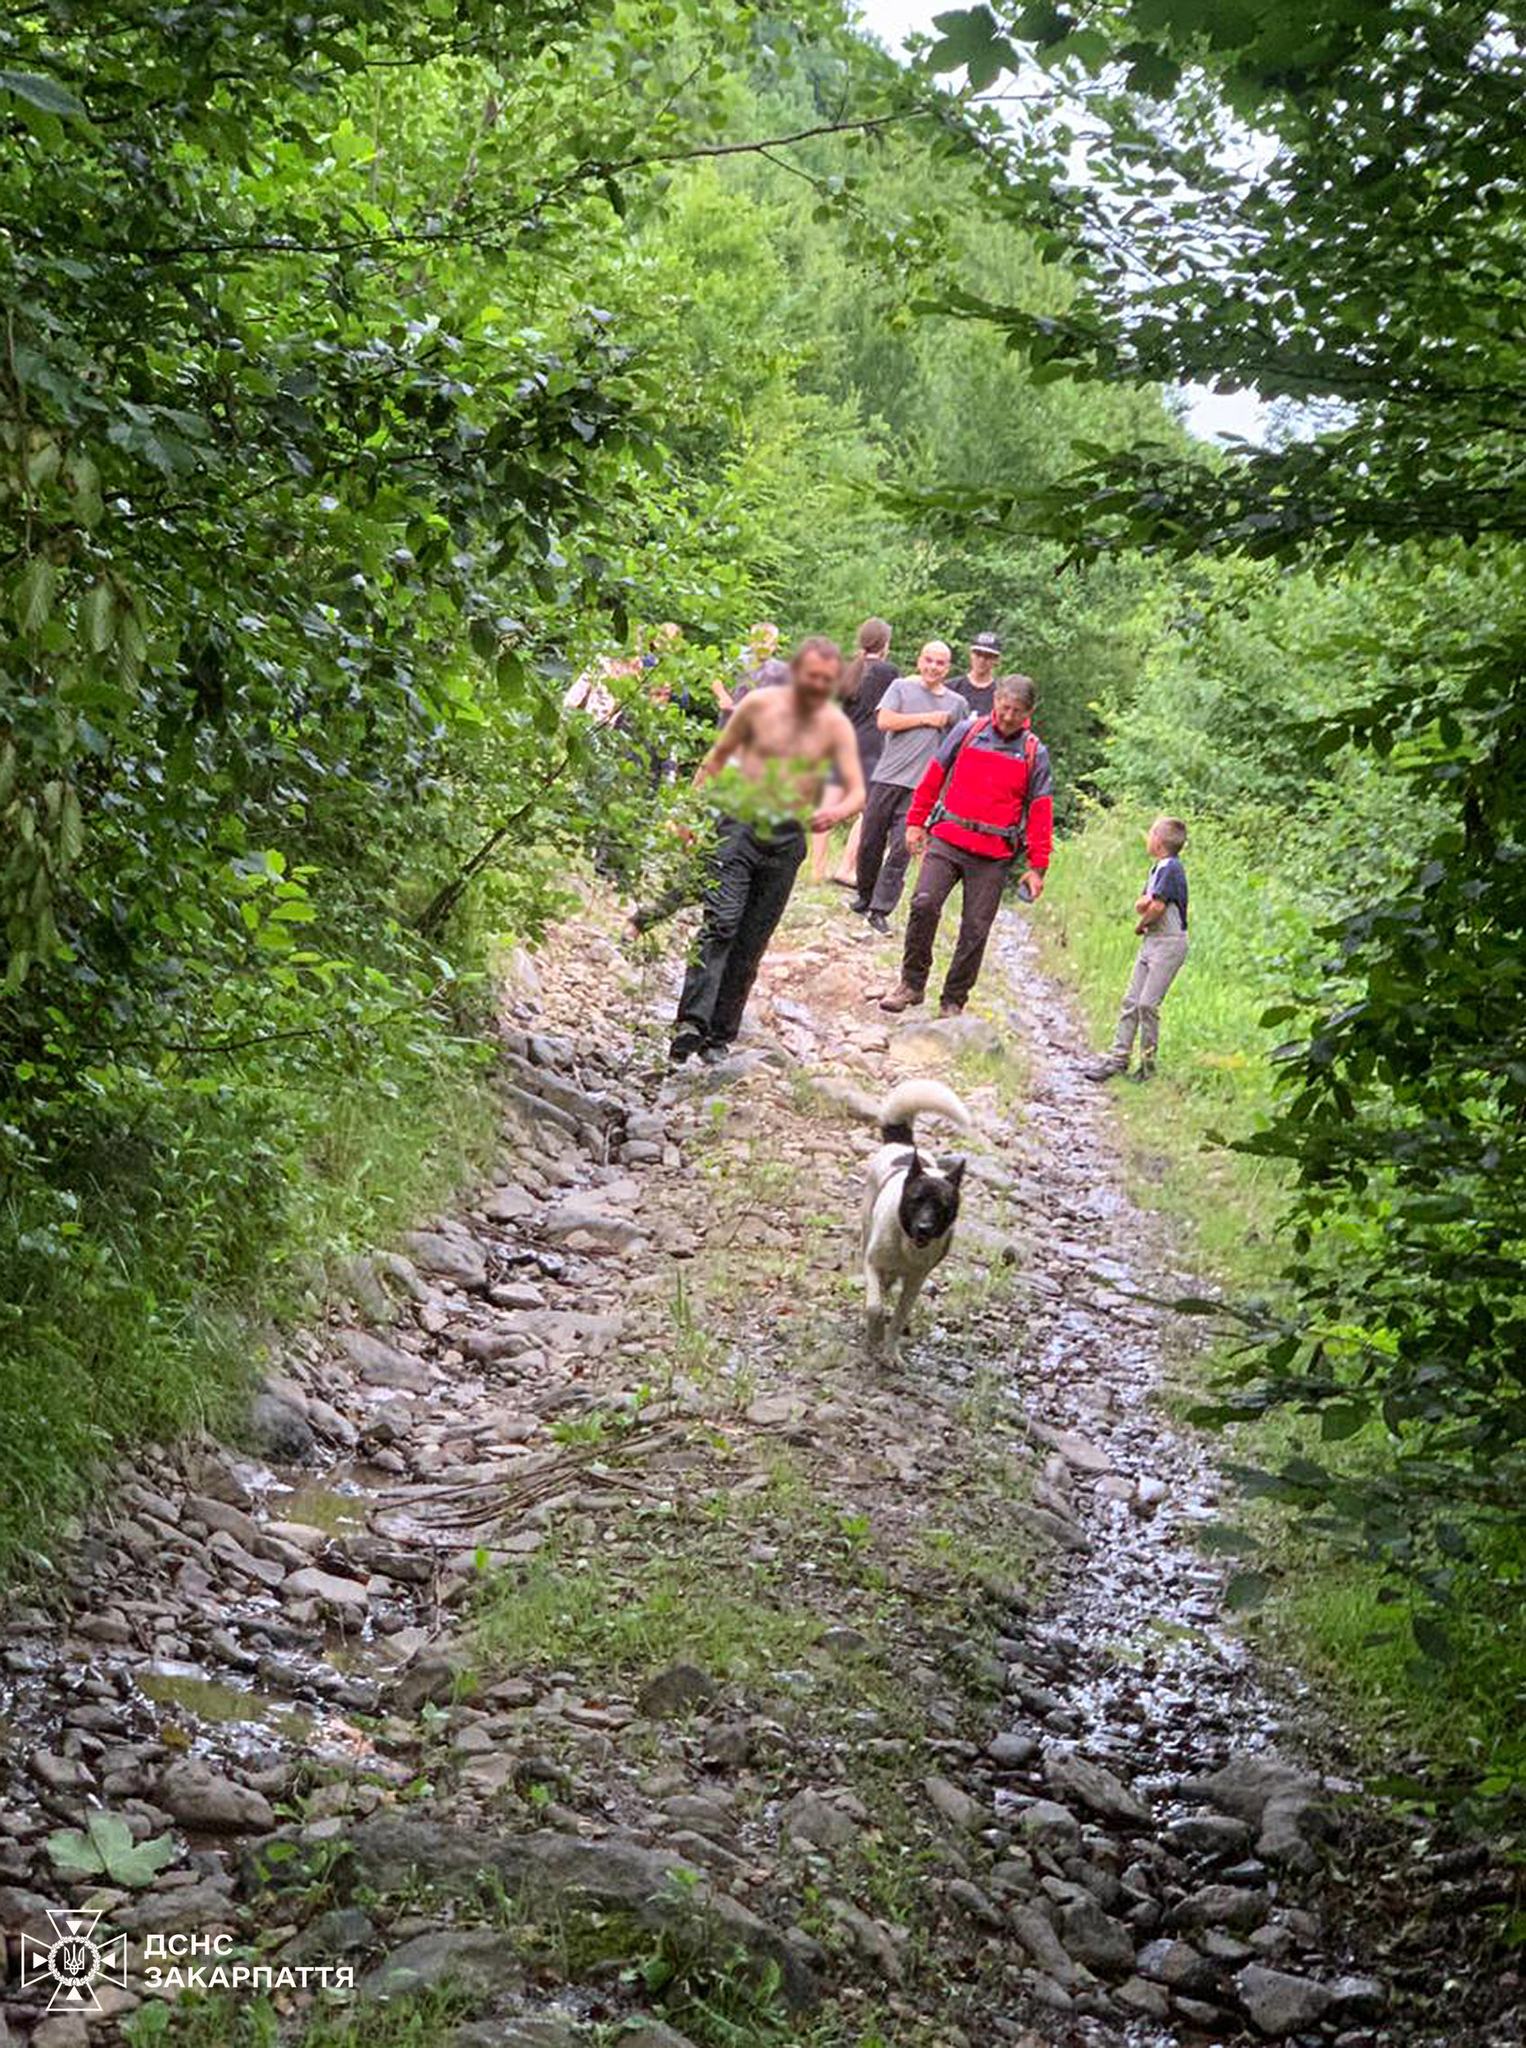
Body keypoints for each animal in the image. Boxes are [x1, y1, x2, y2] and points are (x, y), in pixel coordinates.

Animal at [864, 1073, 970, 1359]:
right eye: (916, 1200)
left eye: (942, 1206)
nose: (924, 1228)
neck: (906, 1245)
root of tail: (903, 1144)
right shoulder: (872, 1263)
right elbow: (874, 1307)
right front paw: (875, 1334)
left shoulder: (915, 1281)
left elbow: (899, 1318)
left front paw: (891, 1354)